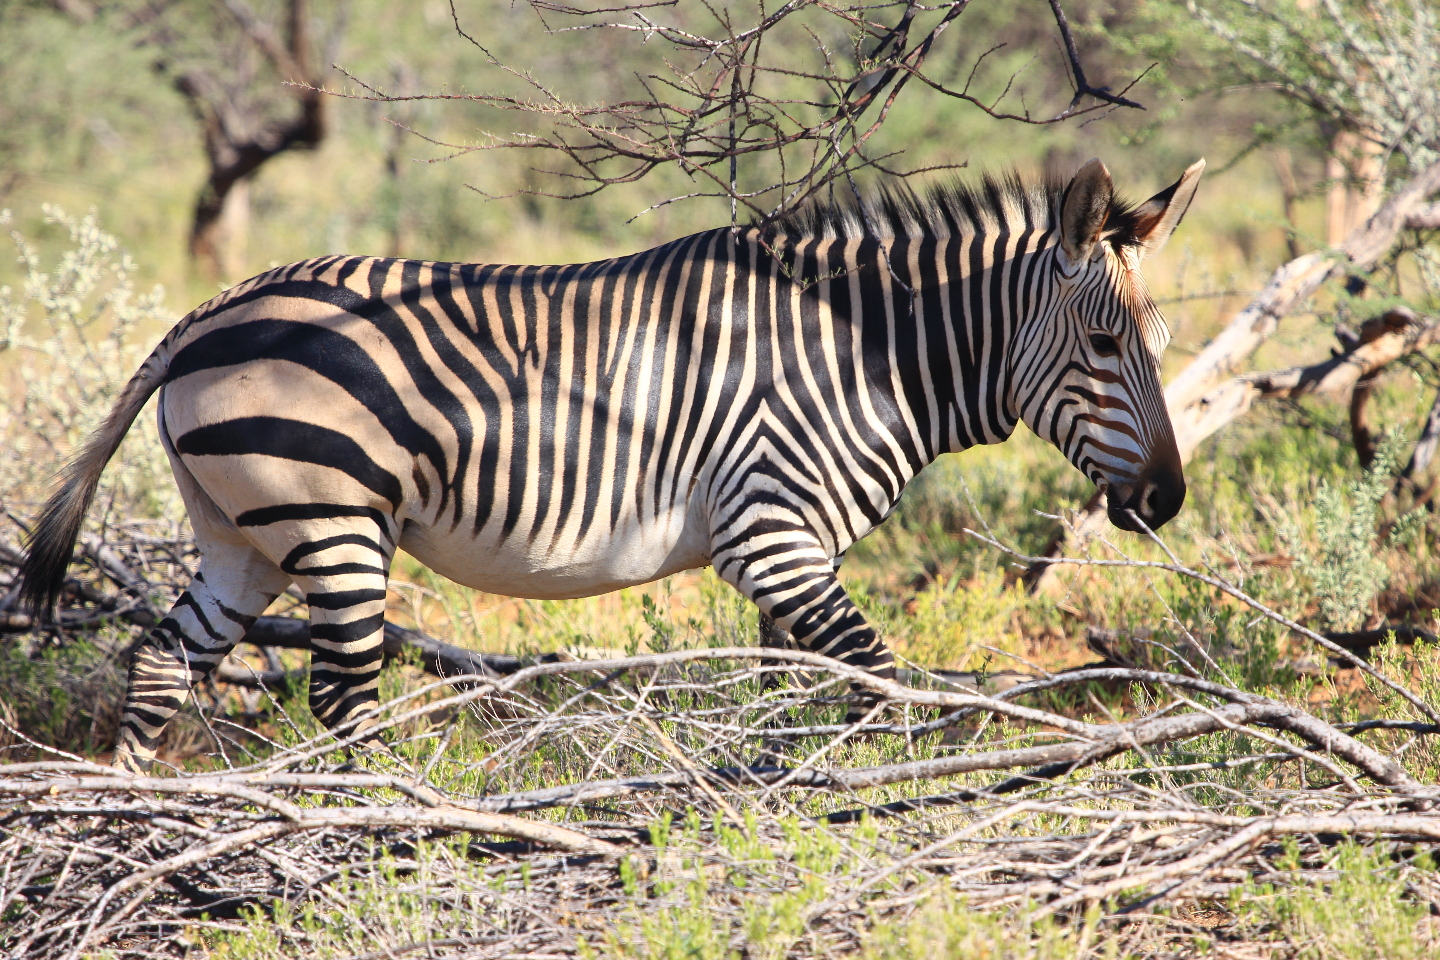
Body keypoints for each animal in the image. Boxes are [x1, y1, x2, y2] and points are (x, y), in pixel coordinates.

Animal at [16, 157, 1203, 771]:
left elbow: (793, 689)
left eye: (1161, 338)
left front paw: (782, 791)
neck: (860, 354)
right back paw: (403, 821)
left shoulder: (786, 552)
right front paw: (897, 796)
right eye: (1108, 344)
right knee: (341, 691)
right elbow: (879, 683)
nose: (1165, 498)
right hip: (333, 526)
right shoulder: (773, 535)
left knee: (161, 661)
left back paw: (146, 808)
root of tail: (208, 313)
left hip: (242, 535)